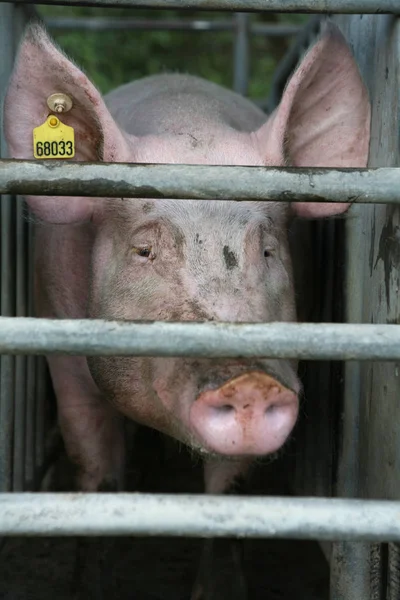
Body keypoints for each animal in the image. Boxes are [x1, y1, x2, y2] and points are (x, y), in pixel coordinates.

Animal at [4, 19, 370, 600]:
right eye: (143, 250)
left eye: (267, 250)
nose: (249, 380)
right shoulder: (60, 344)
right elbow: (93, 470)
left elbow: (227, 493)